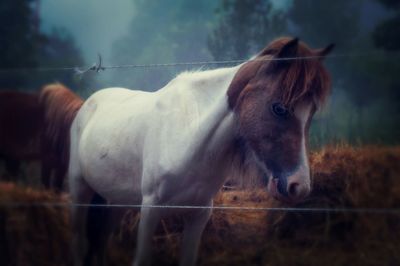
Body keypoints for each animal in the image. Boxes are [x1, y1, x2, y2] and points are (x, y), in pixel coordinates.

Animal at [69, 38, 334, 266]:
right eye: (279, 108)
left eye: (311, 113)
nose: (299, 186)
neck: (191, 136)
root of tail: (89, 104)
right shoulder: (151, 208)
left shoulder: (199, 214)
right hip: (79, 189)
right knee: (80, 243)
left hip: (116, 200)